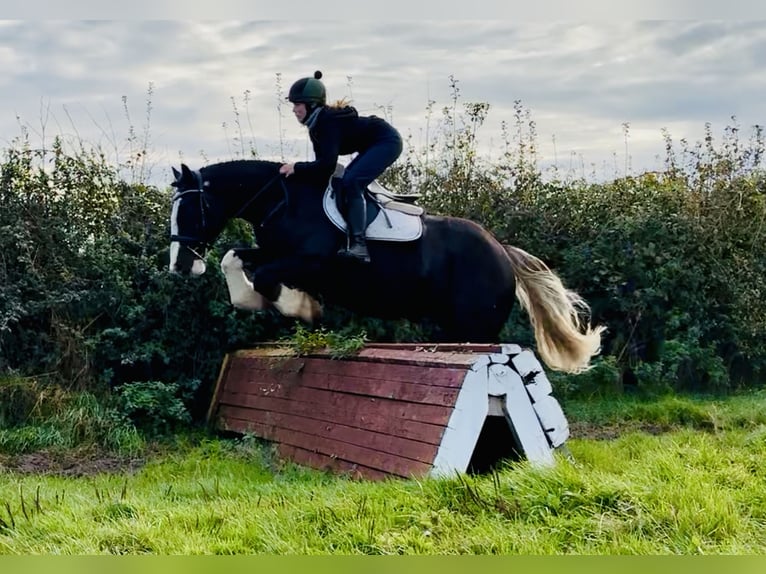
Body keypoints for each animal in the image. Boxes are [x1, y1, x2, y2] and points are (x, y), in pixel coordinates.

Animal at [168, 159, 605, 374]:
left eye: (188, 211)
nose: (180, 267)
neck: (285, 200)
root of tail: (502, 251)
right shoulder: (273, 251)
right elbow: (237, 258)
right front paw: (260, 300)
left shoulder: (312, 262)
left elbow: (266, 276)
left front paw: (298, 306)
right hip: (451, 326)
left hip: (476, 325)